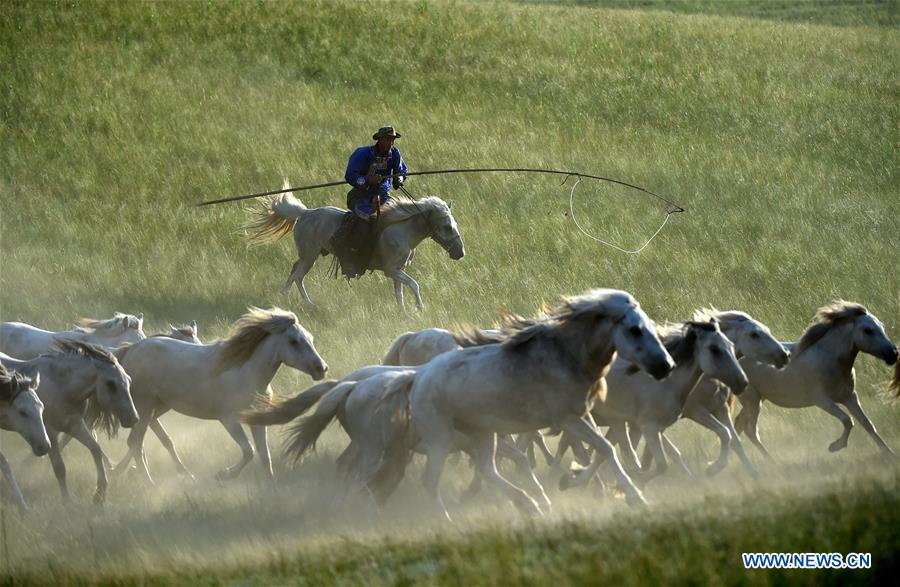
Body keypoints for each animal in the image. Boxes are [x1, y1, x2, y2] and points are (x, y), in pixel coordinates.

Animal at [112, 307, 328, 483]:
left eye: (310, 338)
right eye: (294, 341)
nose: (322, 368)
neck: (247, 373)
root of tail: (129, 350)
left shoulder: (258, 420)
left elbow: (264, 455)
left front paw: (271, 485)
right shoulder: (229, 419)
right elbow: (249, 451)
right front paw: (223, 474)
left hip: (159, 406)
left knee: (148, 437)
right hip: (145, 406)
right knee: (135, 442)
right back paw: (150, 482)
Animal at [243, 187, 465, 309]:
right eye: (447, 226)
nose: (460, 253)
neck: (402, 230)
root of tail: (305, 213)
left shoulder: (398, 271)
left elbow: (400, 292)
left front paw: (403, 312)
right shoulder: (391, 270)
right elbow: (414, 284)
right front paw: (419, 307)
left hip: (306, 256)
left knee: (294, 271)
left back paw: (288, 298)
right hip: (309, 256)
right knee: (298, 276)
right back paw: (304, 303)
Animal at [406, 289, 675, 519]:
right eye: (635, 329)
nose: (666, 365)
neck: (566, 357)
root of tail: (419, 376)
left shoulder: (583, 415)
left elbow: (602, 449)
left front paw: (572, 479)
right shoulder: (567, 419)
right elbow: (605, 448)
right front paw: (635, 497)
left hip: (482, 433)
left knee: (487, 469)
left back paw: (530, 504)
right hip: (441, 439)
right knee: (430, 481)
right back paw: (448, 519)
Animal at [734, 301, 898, 456]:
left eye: (882, 326)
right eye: (867, 330)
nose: (894, 353)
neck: (830, 360)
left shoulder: (849, 397)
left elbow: (867, 424)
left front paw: (889, 453)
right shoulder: (821, 400)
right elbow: (847, 420)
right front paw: (835, 446)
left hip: (757, 400)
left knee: (738, 426)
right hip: (752, 401)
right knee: (750, 430)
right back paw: (770, 460)